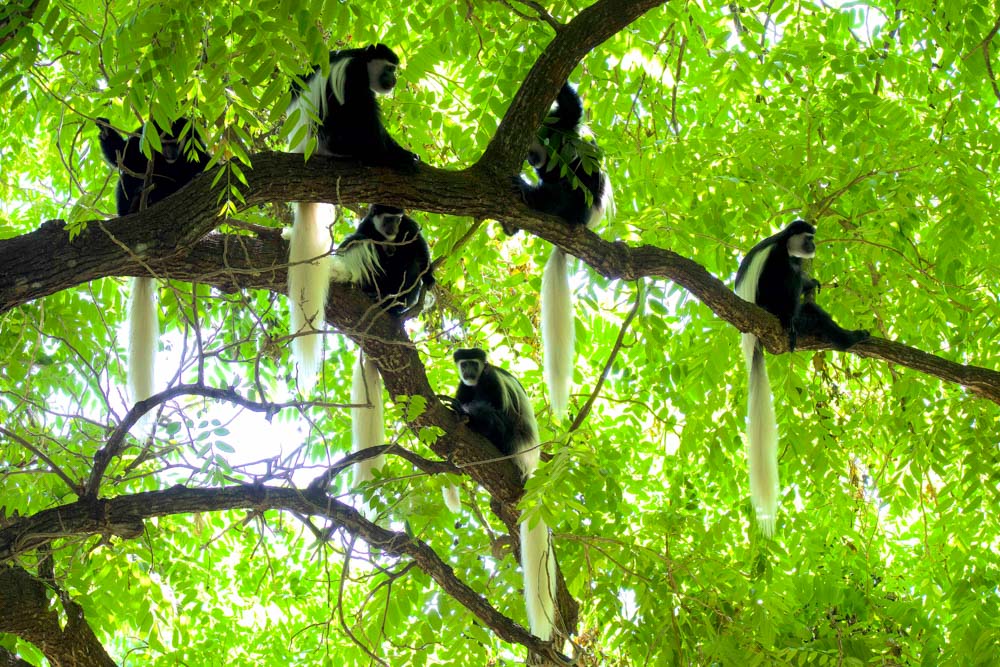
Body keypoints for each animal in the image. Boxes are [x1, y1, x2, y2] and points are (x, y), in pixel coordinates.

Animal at [95, 117, 210, 405]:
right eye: (164, 141)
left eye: (177, 141)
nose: (171, 153)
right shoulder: (142, 138)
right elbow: (123, 157)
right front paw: (105, 129)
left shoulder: (194, 143)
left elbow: (204, 162)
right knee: (128, 178)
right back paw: (136, 205)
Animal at [284, 43, 419, 392]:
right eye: (389, 69)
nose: (393, 80)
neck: (358, 56)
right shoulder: (353, 75)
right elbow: (364, 115)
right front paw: (399, 155)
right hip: (332, 137)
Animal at [451, 348, 557, 641]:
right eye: (464, 364)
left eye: (474, 364)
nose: (469, 372)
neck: (478, 380)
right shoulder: (464, 385)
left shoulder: (493, 382)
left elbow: (496, 407)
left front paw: (466, 412)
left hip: (512, 440)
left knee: (495, 417)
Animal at [514, 83, 612, 418]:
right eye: (527, 156)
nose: (532, 161)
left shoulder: (561, 124)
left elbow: (572, 108)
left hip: (580, 200)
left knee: (576, 179)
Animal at [735, 220, 870, 536]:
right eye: (808, 238)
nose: (814, 246)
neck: (785, 244)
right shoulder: (776, 258)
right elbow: (785, 277)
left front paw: (811, 284)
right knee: (788, 286)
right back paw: (793, 322)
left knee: (814, 311)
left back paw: (846, 338)